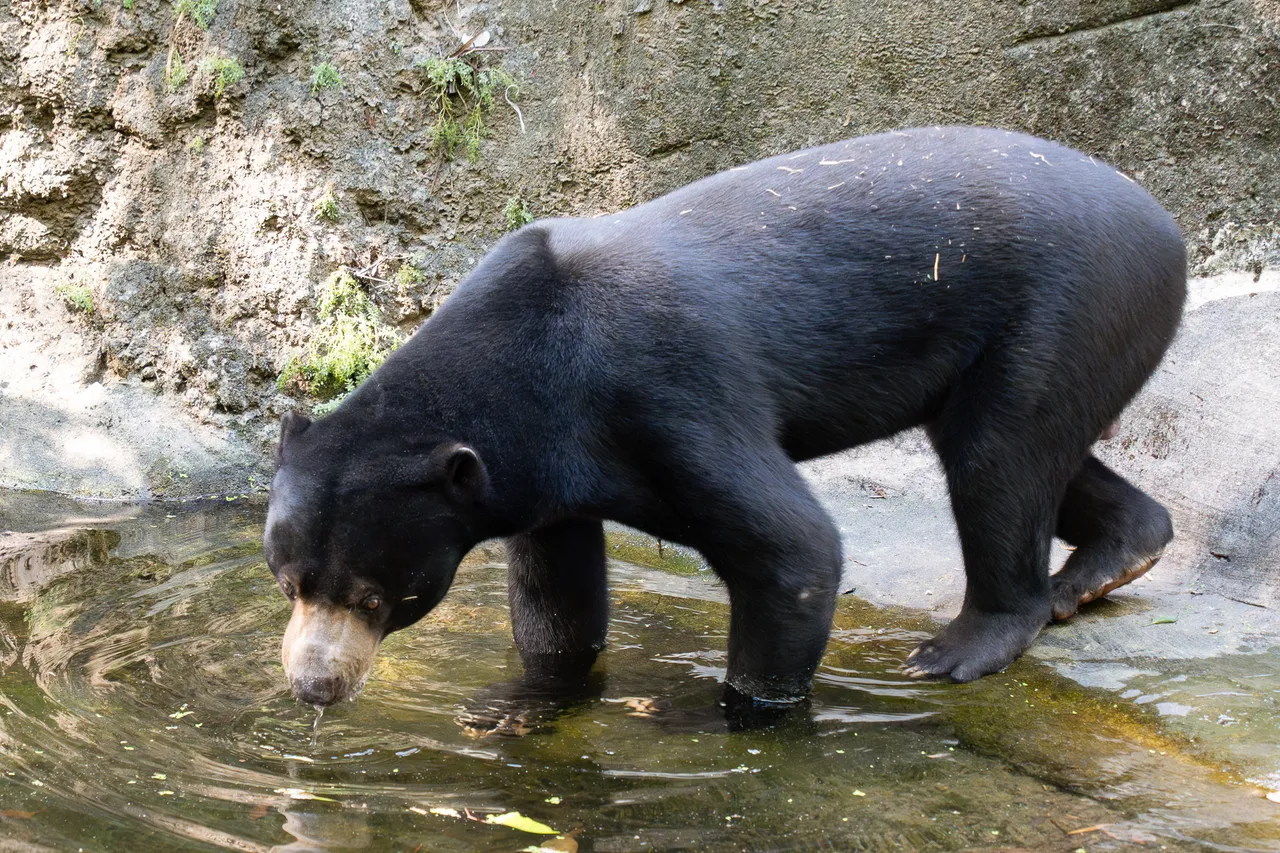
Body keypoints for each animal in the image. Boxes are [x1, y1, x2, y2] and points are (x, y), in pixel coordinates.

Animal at [265, 126, 1185, 708]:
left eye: (377, 595)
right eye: (289, 582)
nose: (314, 687)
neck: (525, 364)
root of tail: (1165, 224)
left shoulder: (664, 393)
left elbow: (792, 548)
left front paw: (747, 712)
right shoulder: (539, 466)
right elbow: (558, 595)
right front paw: (530, 698)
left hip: (1065, 305)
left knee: (999, 458)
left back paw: (962, 646)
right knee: (1028, 451)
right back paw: (1112, 559)